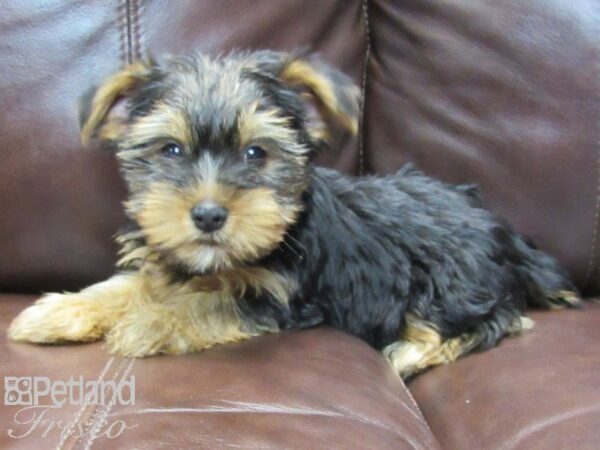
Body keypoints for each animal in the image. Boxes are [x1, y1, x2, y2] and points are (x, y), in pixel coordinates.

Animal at [5, 51, 580, 378]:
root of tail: (505, 233)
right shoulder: (172, 262)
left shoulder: (282, 296)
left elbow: (209, 304)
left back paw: (408, 354)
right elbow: (131, 285)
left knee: (494, 318)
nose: (208, 215)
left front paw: (148, 322)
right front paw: (59, 310)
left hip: (452, 276)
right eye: (171, 150)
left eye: (255, 153)